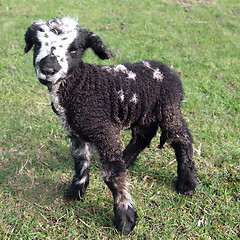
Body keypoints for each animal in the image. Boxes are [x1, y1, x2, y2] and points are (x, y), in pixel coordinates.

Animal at [24, 17, 197, 236]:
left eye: (75, 49)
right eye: (37, 44)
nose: (48, 69)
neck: (81, 85)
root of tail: (169, 70)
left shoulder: (104, 131)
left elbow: (113, 175)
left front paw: (125, 219)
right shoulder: (77, 134)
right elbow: (80, 162)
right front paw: (75, 193)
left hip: (169, 109)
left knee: (182, 139)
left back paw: (187, 183)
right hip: (145, 113)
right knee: (143, 137)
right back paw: (127, 159)